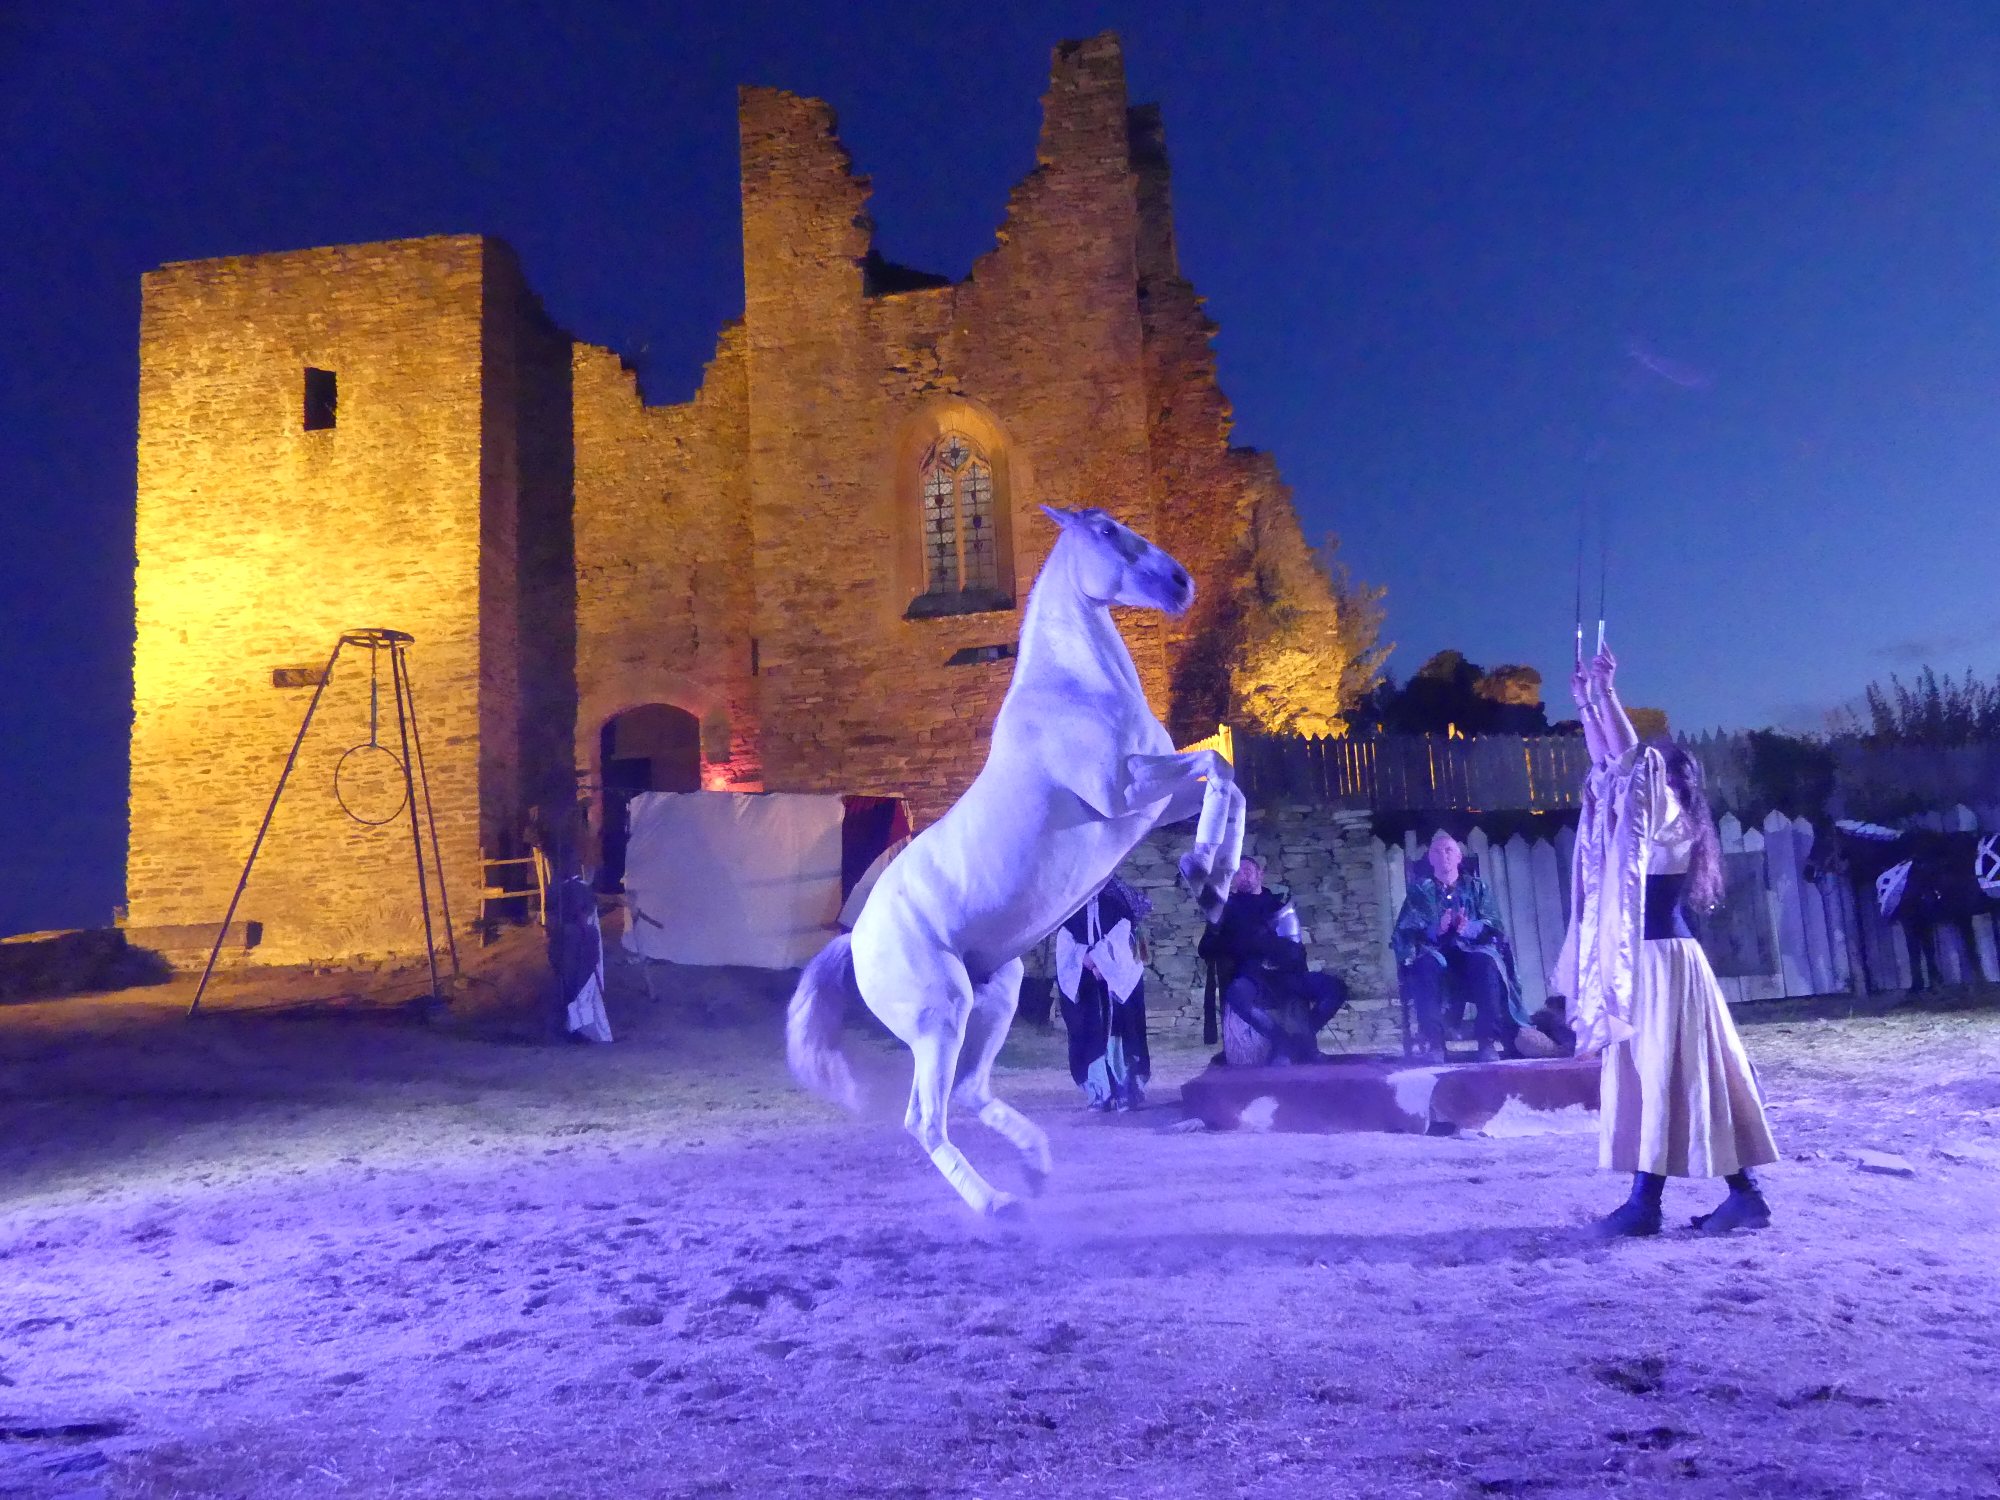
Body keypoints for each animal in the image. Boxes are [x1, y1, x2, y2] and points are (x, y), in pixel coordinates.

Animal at [784, 512, 1240, 1216]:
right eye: (1106, 531)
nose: (1180, 583)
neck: (1075, 692)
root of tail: (854, 940)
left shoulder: (1155, 805)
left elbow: (1228, 780)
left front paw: (1213, 879)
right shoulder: (1124, 793)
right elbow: (1217, 764)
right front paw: (1202, 872)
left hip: (996, 995)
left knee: (970, 1092)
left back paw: (1036, 1166)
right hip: (942, 1015)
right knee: (927, 1117)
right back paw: (995, 1202)